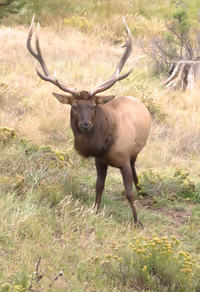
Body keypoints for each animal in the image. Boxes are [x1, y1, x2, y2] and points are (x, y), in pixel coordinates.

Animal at [27, 14, 152, 225]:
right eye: (74, 106)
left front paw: (137, 222)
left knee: (136, 167)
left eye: (93, 106)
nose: (85, 125)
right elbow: (98, 186)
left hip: (136, 151)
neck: (106, 145)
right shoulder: (99, 160)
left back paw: (141, 188)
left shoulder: (125, 159)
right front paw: (95, 211)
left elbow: (129, 194)